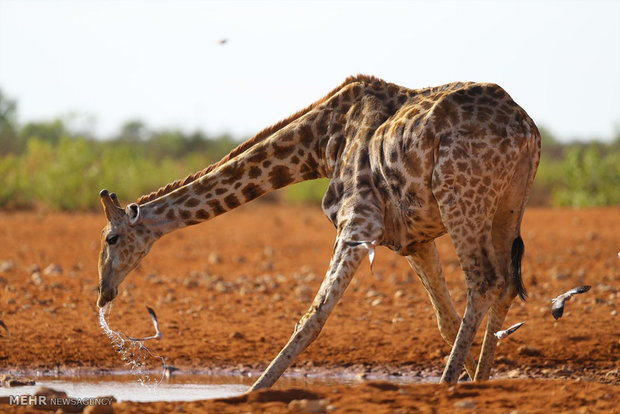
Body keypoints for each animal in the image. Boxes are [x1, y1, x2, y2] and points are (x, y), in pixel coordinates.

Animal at [95, 73, 536, 388]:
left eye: (110, 238)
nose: (103, 293)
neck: (321, 143)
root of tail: (527, 130)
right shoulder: (413, 237)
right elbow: (444, 319)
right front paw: (469, 377)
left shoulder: (358, 221)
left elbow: (313, 316)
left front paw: (253, 391)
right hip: (507, 205)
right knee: (505, 283)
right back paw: (479, 381)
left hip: (460, 196)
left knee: (484, 279)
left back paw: (446, 384)